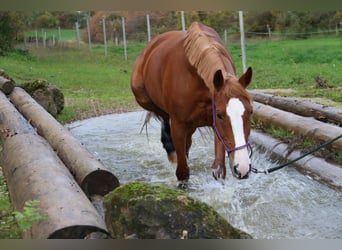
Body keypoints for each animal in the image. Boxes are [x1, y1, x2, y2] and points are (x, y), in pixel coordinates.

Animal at [131, 22, 254, 184]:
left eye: (251, 112)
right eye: (220, 115)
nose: (243, 167)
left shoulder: (215, 128)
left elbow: (219, 170)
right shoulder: (179, 126)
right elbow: (183, 173)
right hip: (144, 98)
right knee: (164, 118)